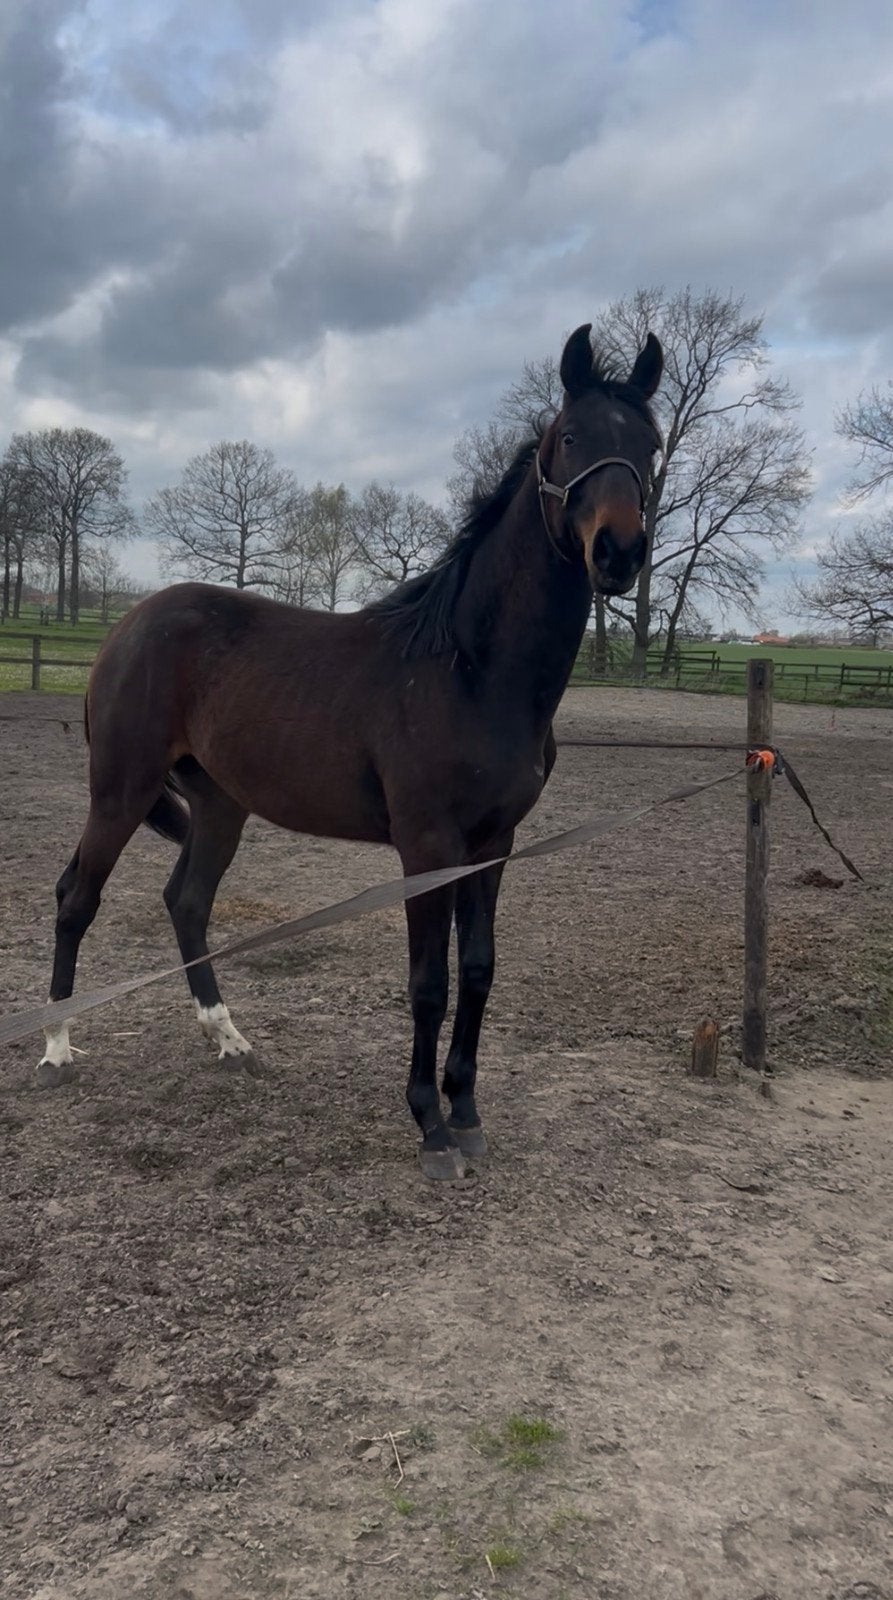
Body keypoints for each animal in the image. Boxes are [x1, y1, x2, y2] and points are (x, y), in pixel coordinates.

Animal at [38, 323, 663, 1178]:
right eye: (571, 438)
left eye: (651, 444)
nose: (619, 552)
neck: (468, 668)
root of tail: (129, 624)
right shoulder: (427, 846)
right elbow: (429, 981)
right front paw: (430, 1126)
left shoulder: (493, 844)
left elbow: (478, 970)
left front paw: (467, 1112)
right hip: (121, 790)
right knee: (77, 897)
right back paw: (57, 1048)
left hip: (219, 803)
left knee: (186, 901)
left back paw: (228, 1038)